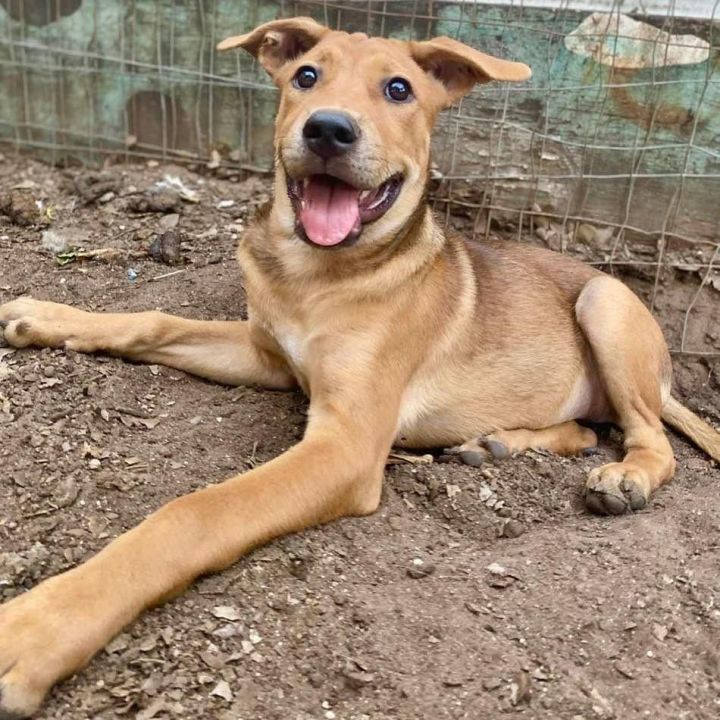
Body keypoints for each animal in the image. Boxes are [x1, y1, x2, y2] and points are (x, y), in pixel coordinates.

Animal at [1, 15, 720, 716]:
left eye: (399, 89)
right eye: (305, 76)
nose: (327, 129)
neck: (316, 274)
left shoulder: (344, 446)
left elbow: (197, 511)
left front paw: (41, 628)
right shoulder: (267, 355)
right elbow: (154, 320)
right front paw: (43, 317)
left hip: (605, 303)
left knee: (651, 439)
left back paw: (625, 478)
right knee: (583, 429)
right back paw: (496, 443)